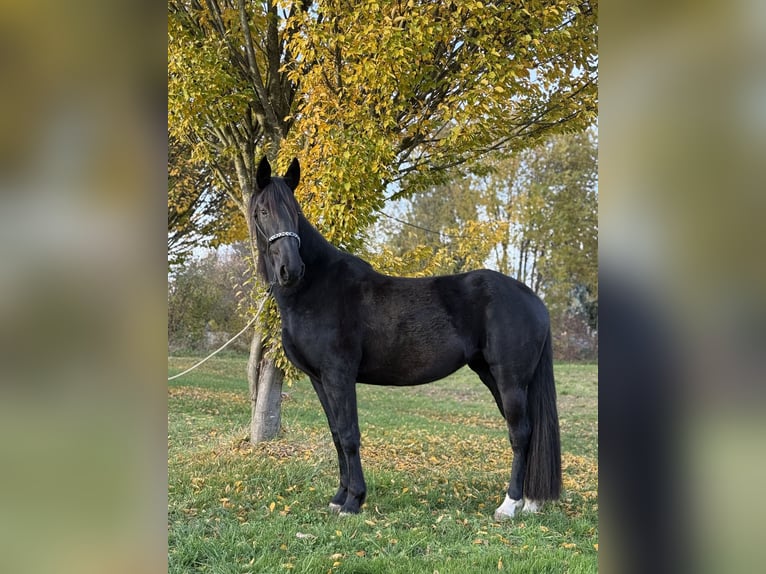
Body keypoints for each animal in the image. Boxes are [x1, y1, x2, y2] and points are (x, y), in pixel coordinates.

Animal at [249, 156, 561, 519]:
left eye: (293, 211)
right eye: (263, 211)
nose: (291, 269)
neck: (316, 288)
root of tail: (533, 298)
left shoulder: (339, 375)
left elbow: (350, 434)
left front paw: (353, 501)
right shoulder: (319, 379)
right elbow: (337, 435)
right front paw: (339, 497)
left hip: (510, 380)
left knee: (520, 433)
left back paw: (509, 505)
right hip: (494, 375)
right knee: (529, 431)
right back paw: (530, 502)